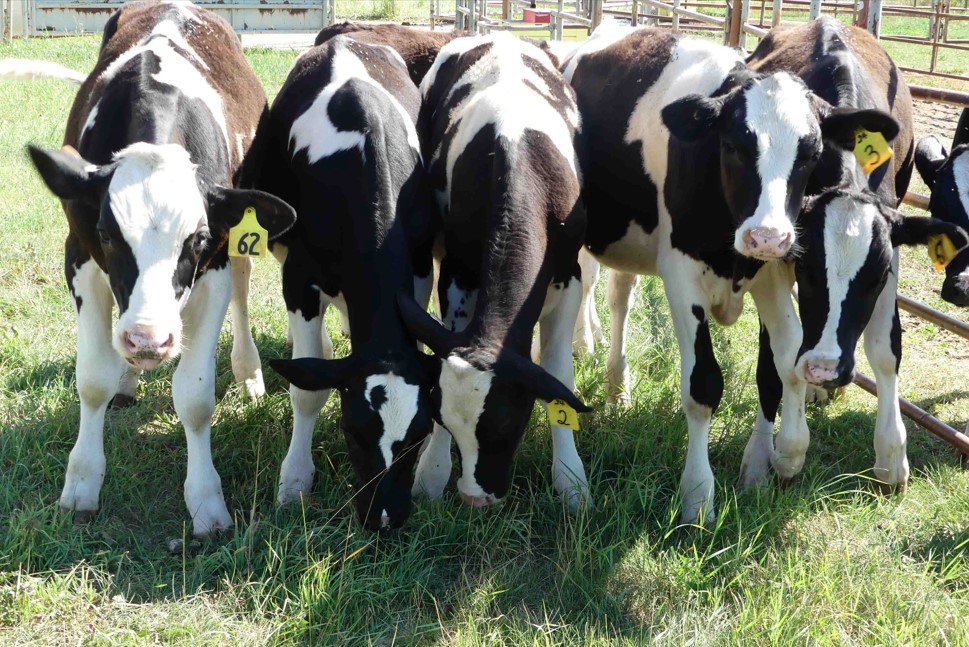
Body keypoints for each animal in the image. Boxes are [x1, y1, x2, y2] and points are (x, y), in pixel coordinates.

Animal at [20, 1, 296, 536]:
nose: (148, 340)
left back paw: (248, 372)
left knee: (244, 291)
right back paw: (129, 381)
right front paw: (82, 482)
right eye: (107, 234)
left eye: (198, 239)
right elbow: (93, 379)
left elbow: (194, 397)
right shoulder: (79, 256)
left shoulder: (214, 265)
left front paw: (206, 499)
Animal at [248, 34, 439, 531]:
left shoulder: (419, 268)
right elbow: (306, 389)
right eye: (352, 433)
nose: (386, 518)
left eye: (421, 435)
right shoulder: (298, 276)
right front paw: (295, 479)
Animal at [397, 33, 592, 510]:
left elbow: (558, 374)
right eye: (444, 420)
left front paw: (571, 481)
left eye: (505, 427)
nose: (475, 500)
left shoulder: (569, 274)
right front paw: (432, 472)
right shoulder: (457, 270)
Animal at [561, 23, 907, 522]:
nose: (766, 235)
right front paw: (698, 495)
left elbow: (785, 362)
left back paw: (617, 386)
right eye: (734, 146)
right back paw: (586, 347)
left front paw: (782, 457)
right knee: (592, 288)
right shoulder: (681, 275)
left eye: (810, 152)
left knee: (621, 295)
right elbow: (702, 385)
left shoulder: (772, 273)